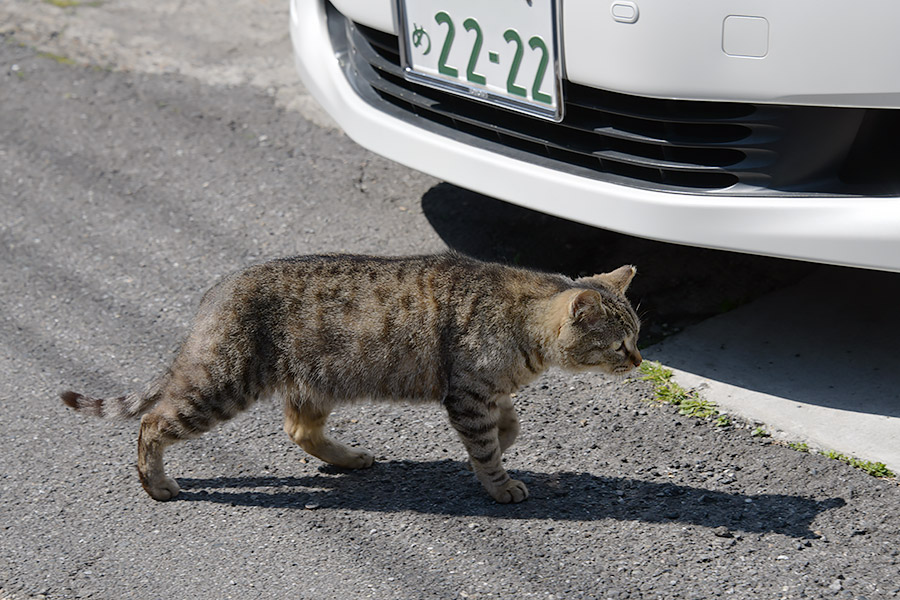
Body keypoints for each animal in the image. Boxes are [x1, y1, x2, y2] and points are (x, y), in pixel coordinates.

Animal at [61, 251, 640, 504]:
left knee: (299, 429)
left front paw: (506, 439)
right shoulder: (468, 394)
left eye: (638, 335)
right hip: (220, 385)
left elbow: (509, 425)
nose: (639, 361)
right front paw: (500, 483)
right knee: (152, 423)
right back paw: (156, 483)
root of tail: (216, 291)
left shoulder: (484, 392)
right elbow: (486, 451)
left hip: (316, 382)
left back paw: (348, 458)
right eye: (619, 344)